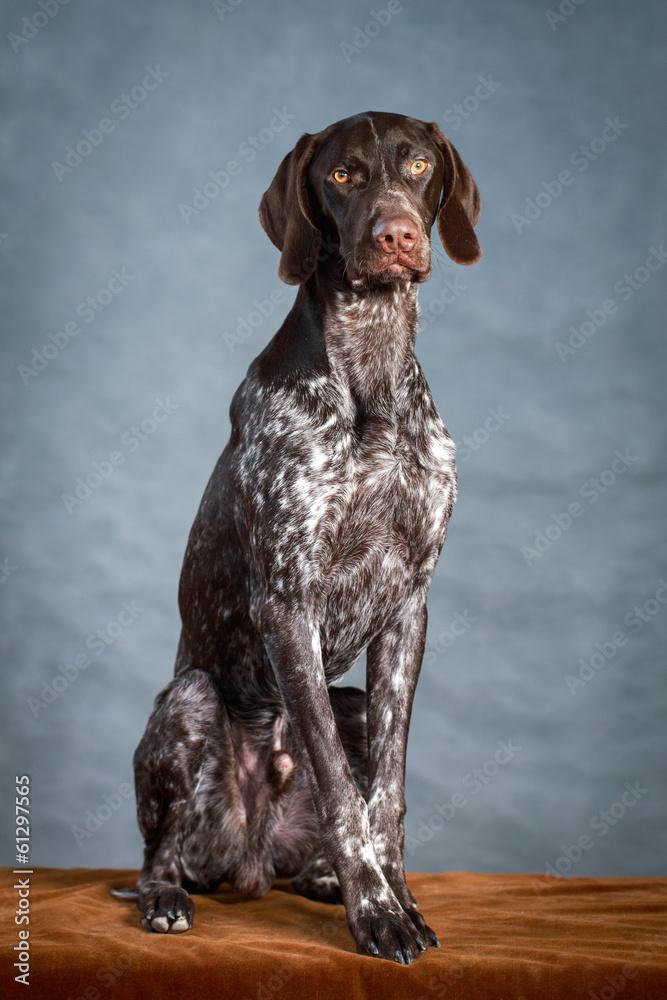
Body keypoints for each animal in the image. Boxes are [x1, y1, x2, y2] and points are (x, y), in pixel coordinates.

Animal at [124, 107, 480, 960]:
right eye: (342, 175)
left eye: (417, 165)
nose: (394, 234)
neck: (370, 369)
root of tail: (253, 864)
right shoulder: (288, 603)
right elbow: (339, 785)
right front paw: (376, 913)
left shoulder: (407, 609)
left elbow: (384, 795)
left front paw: (396, 897)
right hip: (190, 703)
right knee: (159, 854)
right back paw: (165, 899)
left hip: (351, 700)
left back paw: (320, 879)